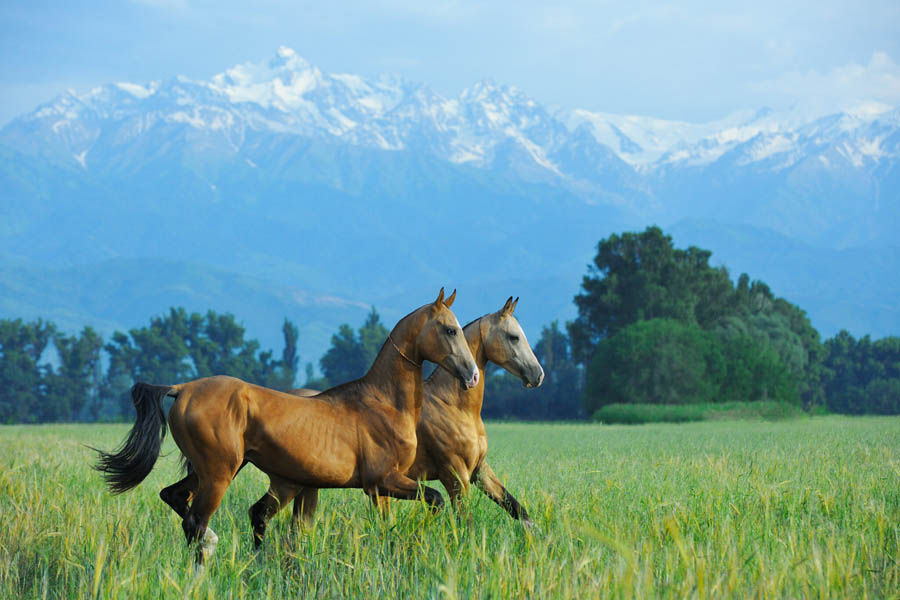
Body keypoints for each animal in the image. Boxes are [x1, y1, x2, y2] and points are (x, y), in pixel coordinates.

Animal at [93, 288, 478, 564]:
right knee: (195, 521)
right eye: (449, 330)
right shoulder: (383, 481)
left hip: (221, 470)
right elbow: (435, 499)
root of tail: (182, 388)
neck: (382, 403)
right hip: (219, 474)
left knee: (177, 497)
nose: (472, 375)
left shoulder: (376, 488)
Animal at [248, 296, 540, 544]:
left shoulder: (479, 469)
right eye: (513, 337)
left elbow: (515, 507)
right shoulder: (454, 473)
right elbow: (464, 519)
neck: (453, 406)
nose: (538, 375)